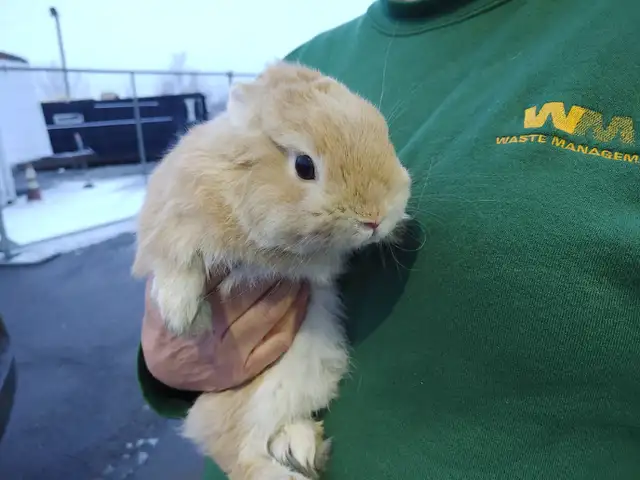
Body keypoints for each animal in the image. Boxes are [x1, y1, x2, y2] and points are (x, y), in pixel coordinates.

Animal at [132, 61, 412, 479]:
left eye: (383, 134)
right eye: (304, 166)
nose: (375, 218)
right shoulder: (170, 219)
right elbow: (175, 264)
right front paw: (182, 318)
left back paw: (303, 447)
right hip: (250, 400)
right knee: (241, 456)